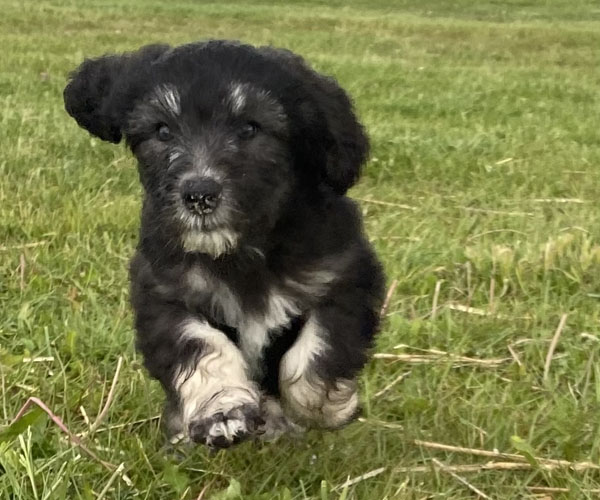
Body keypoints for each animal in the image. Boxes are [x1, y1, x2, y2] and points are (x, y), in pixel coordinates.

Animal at [63, 40, 385, 449]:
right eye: (162, 130)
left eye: (250, 127)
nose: (199, 194)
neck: (241, 252)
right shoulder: (166, 294)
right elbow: (202, 345)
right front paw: (222, 411)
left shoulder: (344, 276)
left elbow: (318, 349)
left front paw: (326, 406)